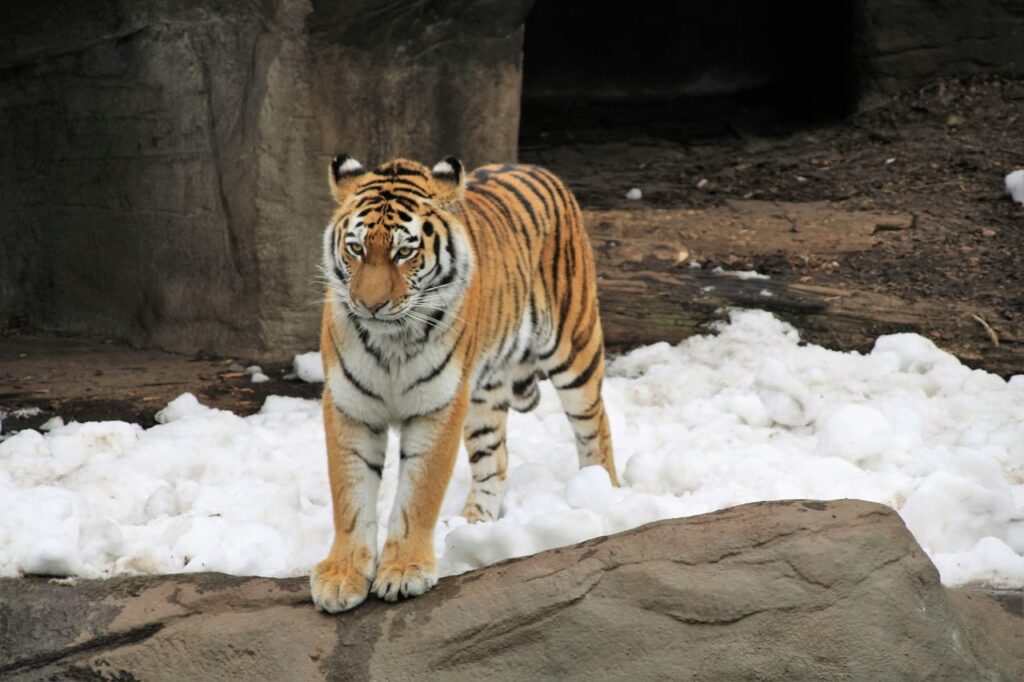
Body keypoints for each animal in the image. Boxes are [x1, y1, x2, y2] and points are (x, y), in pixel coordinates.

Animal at [311, 152, 614, 610]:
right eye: (356, 248)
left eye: (404, 252)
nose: (370, 305)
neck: (390, 340)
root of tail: (537, 168)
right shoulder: (350, 405)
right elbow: (350, 495)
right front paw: (341, 577)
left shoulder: (437, 406)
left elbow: (419, 493)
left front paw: (404, 571)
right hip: (483, 397)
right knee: (496, 459)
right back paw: (475, 526)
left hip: (574, 347)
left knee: (595, 426)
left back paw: (605, 496)